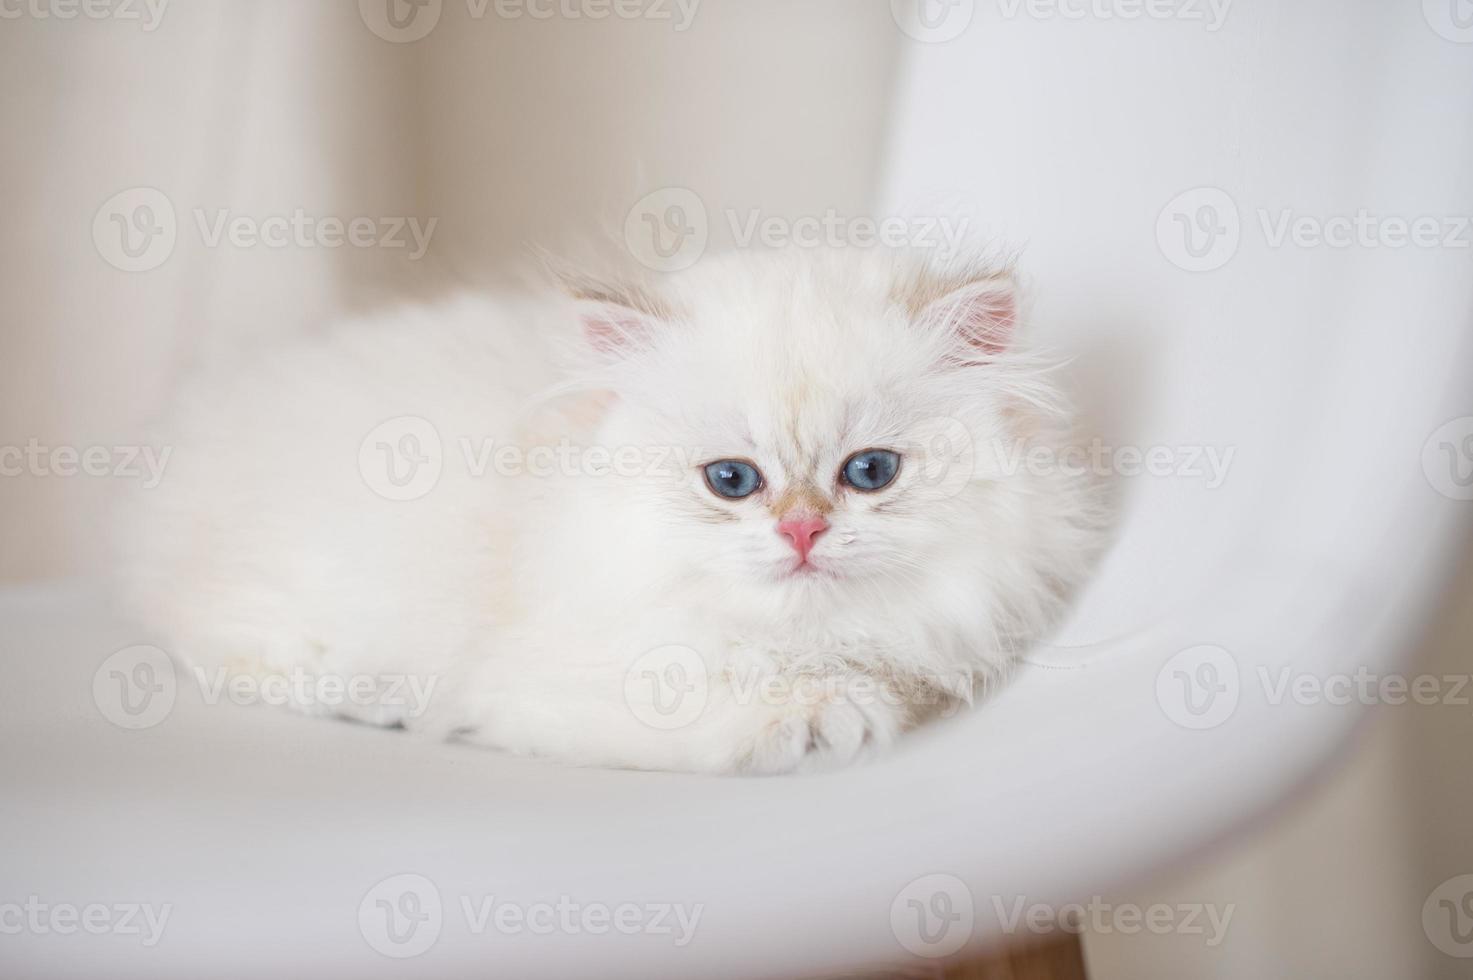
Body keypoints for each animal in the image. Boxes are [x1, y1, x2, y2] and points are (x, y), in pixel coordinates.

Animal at [120, 246, 1101, 772]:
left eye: (868, 471)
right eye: (731, 482)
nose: (800, 530)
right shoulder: (562, 687)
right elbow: (730, 708)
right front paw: (824, 713)